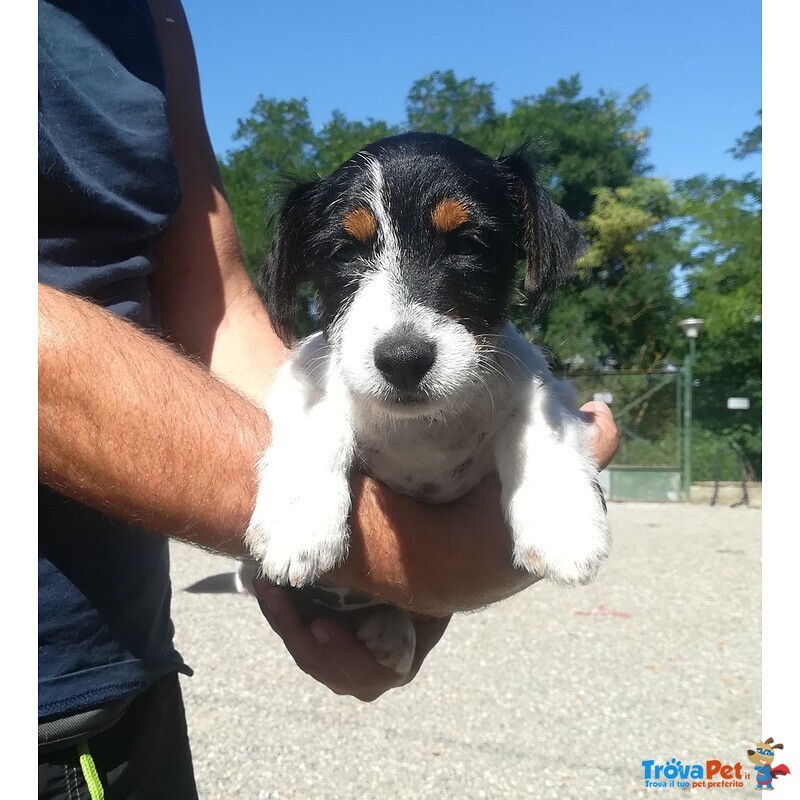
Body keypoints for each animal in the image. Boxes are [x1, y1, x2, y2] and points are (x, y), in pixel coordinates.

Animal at [244, 133, 608, 676]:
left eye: (469, 243)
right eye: (343, 252)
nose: (402, 360)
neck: (424, 428)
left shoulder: (541, 383)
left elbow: (539, 426)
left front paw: (564, 526)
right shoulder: (304, 371)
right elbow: (319, 419)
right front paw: (299, 523)